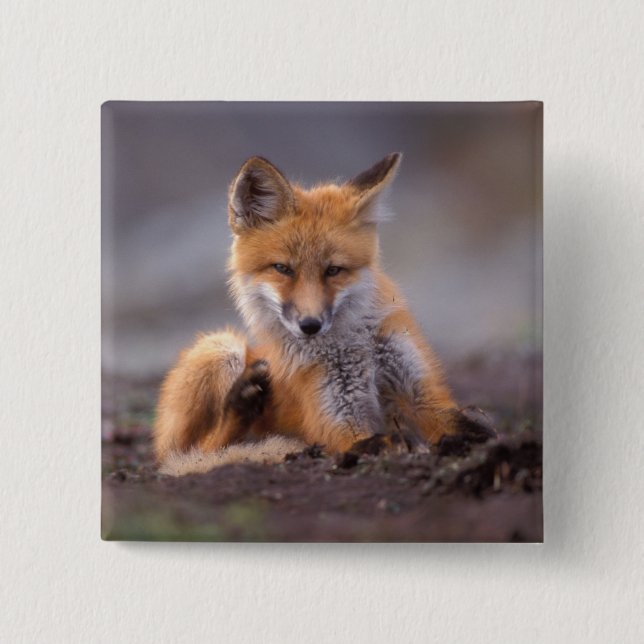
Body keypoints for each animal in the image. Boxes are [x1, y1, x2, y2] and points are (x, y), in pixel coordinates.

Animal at [154, 152, 493, 476]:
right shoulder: (338, 420)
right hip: (220, 348)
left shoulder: (423, 395)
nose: (310, 325)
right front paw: (403, 444)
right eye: (282, 269)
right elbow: (374, 441)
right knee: (197, 451)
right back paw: (241, 406)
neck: (354, 345)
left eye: (333, 270)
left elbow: (471, 427)